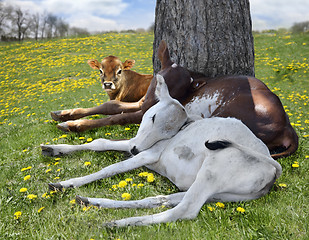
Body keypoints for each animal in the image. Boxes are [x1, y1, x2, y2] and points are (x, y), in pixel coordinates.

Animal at [41, 74, 282, 226]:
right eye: (153, 117)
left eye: (170, 132)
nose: (135, 149)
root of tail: (273, 168)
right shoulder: (135, 142)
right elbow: (99, 142)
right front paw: (53, 148)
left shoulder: (148, 153)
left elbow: (111, 168)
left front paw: (65, 183)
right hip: (220, 194)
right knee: (159, 199)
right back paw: (93, 202)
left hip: (214, 168)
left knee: (184, 210)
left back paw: (119, 222)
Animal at [56, 40, 298, 158]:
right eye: (161, 79)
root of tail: (288, 128)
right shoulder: (143, 103)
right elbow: (112, 104)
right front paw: (65, 113)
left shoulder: (143, 110)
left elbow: (117, 117)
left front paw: (74, 124)